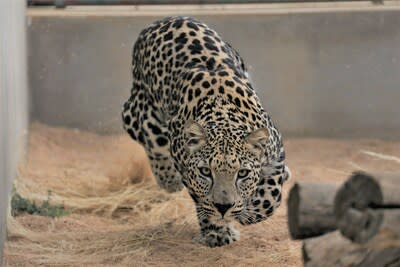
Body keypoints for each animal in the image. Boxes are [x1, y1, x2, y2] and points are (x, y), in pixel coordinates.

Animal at [122, 15, 290, 248]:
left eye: (242, 173)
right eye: (205, 172)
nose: (224, 207)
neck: (224, 116)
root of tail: (161, 20)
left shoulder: (275, 151)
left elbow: (270, 196)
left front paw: (250, 210)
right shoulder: (186, 167)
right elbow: (203, 201)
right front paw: (217, 232)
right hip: (141, 113)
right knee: (149, 136)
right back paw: (168, 180)